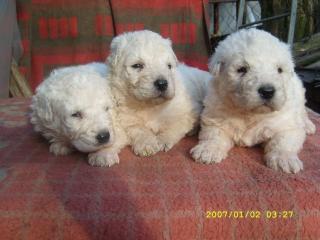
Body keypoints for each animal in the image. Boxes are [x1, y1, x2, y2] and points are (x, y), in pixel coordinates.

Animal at [190, 29, 316, 173]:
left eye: (279, 70)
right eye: (242, 69)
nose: (267, 91)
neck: (251, 113)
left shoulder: (286, 124)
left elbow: (283, 141)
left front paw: (284, 159)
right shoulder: (216, 117)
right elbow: (213, 134)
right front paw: (208, 150)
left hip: (299, 96)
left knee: (302, 113)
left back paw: (308, 125)